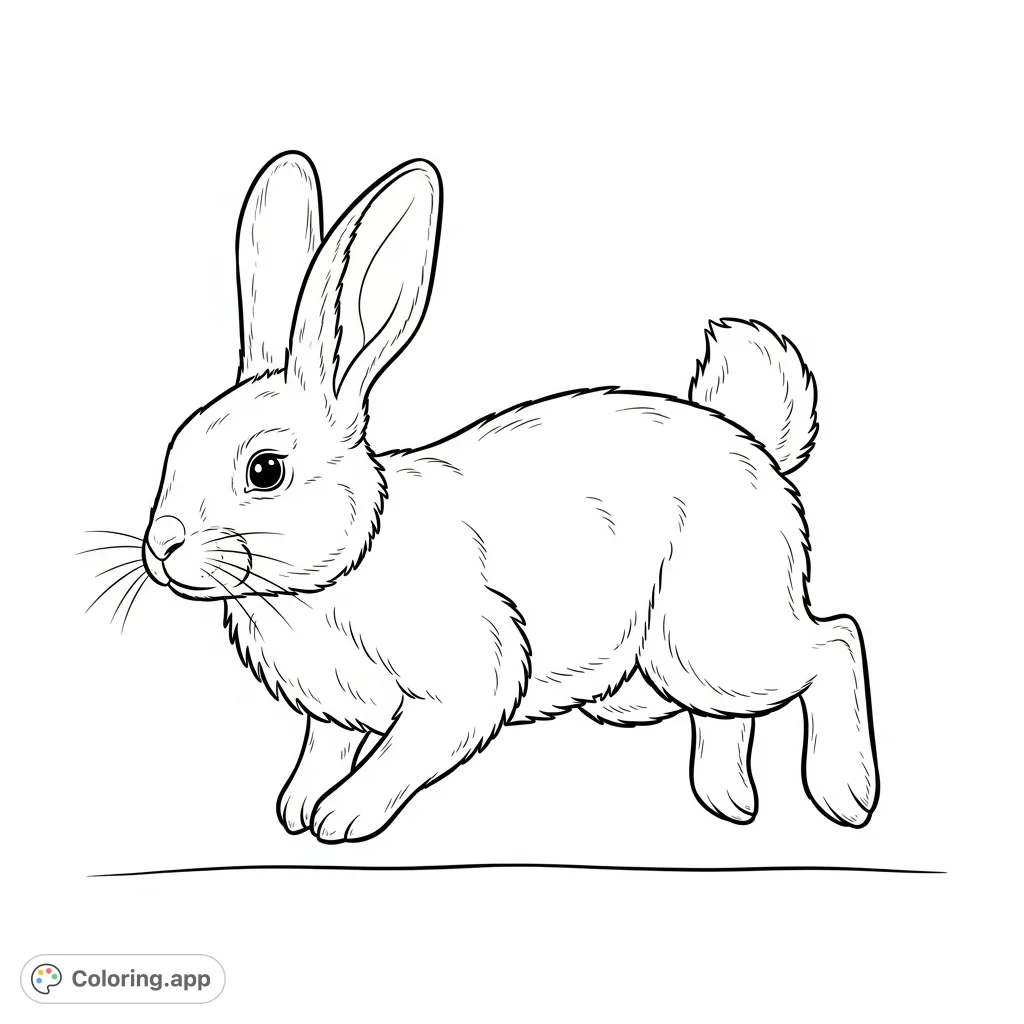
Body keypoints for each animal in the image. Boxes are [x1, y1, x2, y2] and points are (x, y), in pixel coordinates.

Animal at [137, 151, 879, 843]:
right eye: (174, 451)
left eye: (266, 471)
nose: (162, 546)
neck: (343, 569)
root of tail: (756, 447)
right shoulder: (333, 712)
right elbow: (325, 748)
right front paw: (294, 808)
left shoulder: (467, 677)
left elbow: (400, 756)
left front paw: (341, 818)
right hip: (649, 679)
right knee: (730, 713)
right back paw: (728, 801)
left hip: (711, 639)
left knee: (834, 643)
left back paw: (847, 796)